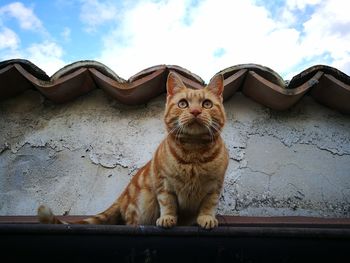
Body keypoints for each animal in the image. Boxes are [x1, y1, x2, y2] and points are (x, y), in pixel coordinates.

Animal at [38, 71, 228, 229]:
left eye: (207, 104)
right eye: (183, 104)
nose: (195, 111)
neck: (194, 152)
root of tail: (123, 195)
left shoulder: (214, 187)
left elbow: (208, 205)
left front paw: (206, 218)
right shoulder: (163, 182)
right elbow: (168, 203)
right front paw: (167, 218)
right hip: (142, 205)